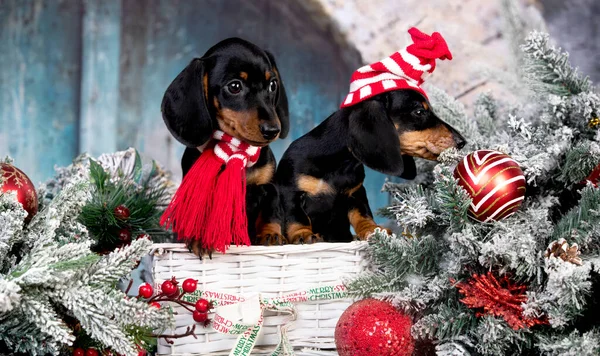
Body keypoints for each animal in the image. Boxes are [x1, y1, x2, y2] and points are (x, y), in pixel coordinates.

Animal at [162, 37, 288, 254]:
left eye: (273, 84)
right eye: (235, 86)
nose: (273, 130)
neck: (235, 149)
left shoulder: (268, 185)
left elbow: (272, 206)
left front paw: (271, 234)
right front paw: (198, 238)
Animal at [276, 90, 468, 243]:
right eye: (419, 111)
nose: (462, 142)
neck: (340, 165)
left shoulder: (355, 193)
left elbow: (362, 214)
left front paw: (372, 230)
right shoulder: (291, 193)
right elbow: (297, 218)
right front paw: (302, 234)